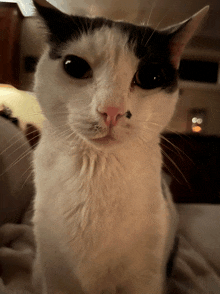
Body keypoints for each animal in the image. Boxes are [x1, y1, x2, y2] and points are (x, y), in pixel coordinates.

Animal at [32, 1, 208, 292]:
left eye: (150, 76)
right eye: (74, 66)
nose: (111, 110)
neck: (96, 174)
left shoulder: (145, 277)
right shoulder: (55, 276)